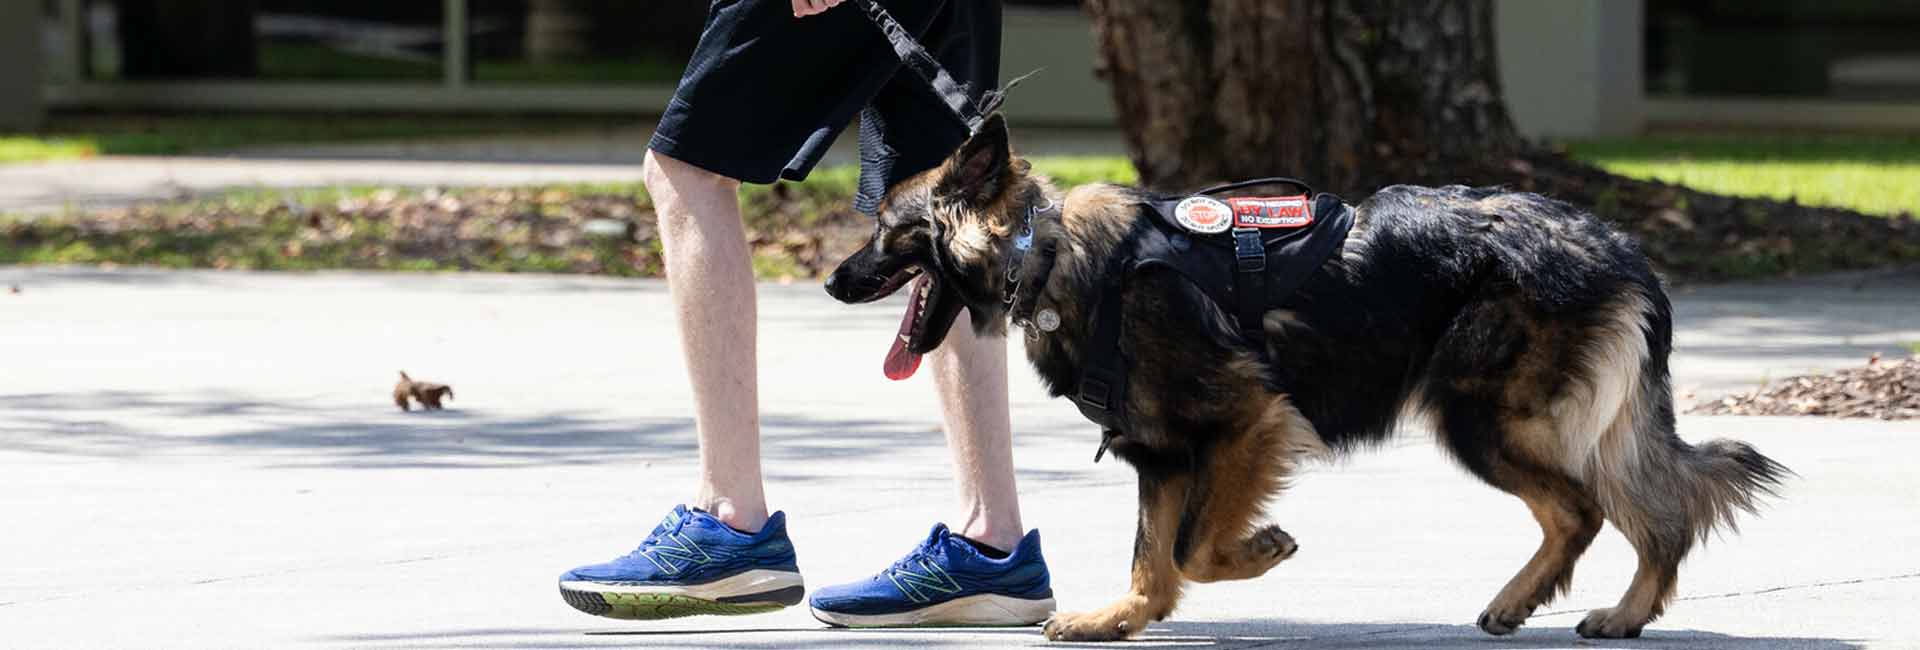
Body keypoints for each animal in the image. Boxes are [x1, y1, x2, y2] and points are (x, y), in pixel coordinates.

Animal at [821, 116, 1781, 640]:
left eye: (888, 230)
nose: (831, 281)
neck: (1045, 250)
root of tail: (1619, 246)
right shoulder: (1162, 454)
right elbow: (1153, 560)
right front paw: (1122, 619)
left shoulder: (1247, 420)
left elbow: (1191, 549)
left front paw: (1256, 550)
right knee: (1637, 511)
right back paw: (1590, 610)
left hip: (1481, 418)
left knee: (1595, 508)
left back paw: (1591, 609)